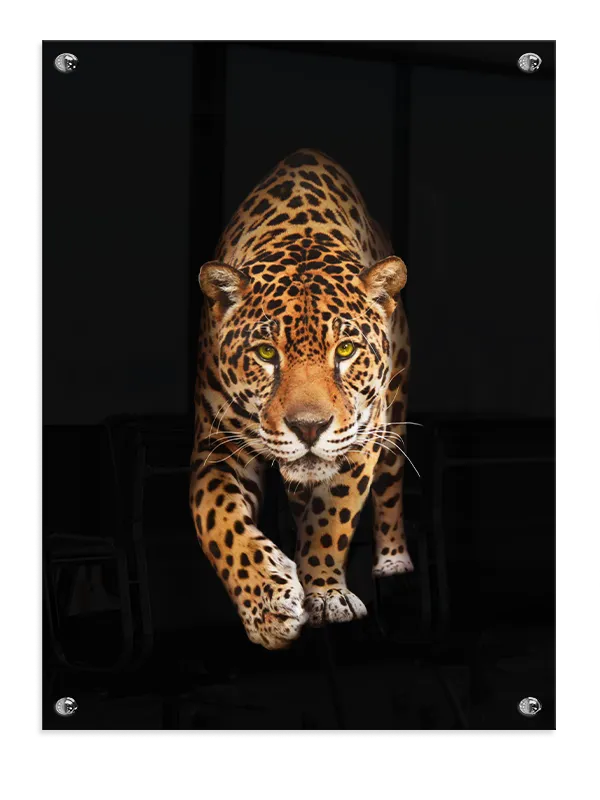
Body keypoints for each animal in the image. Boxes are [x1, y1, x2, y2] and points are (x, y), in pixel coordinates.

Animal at [190, 148, 413, 650]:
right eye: (266, 353)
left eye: (345, 351)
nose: (308, 427)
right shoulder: (217, 446)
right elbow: (218, 520)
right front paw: (269, 607)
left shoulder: (361, 437)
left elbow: (331, 516)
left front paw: (326, 593)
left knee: (390, 485)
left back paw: (394, 562)